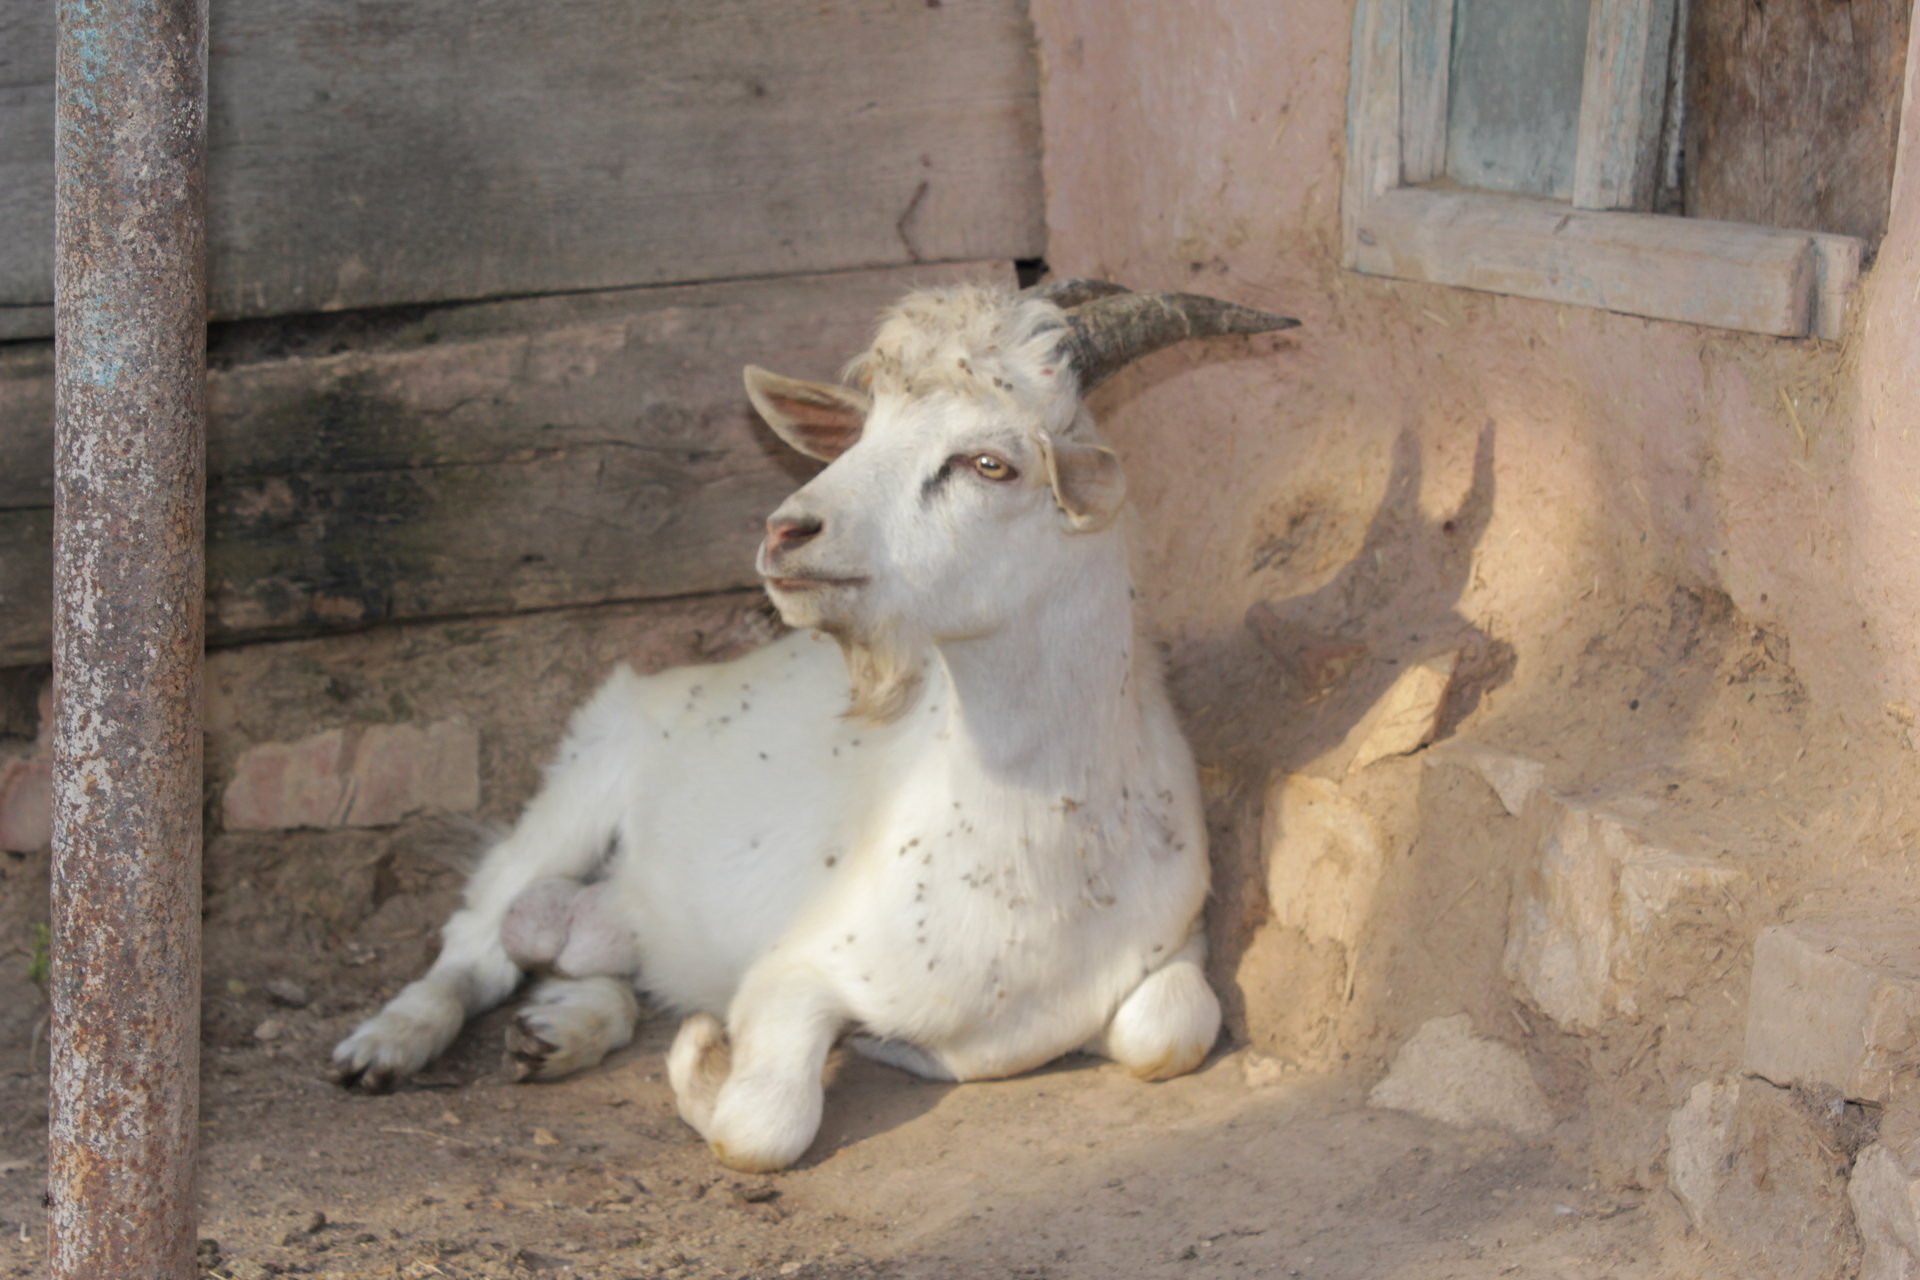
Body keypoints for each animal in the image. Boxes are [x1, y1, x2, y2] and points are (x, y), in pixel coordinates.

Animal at [331, 280, 1297, 1172]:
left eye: (990, 463)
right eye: (863, 435)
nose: (787, 531)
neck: (1035, 872)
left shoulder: (1176, 944)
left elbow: (1174, 1027)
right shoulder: (795, 970)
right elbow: (761, 1126)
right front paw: (702, 1062)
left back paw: (560, 1028)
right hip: (576, 787)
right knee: (477, 936)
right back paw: (387, 1045)